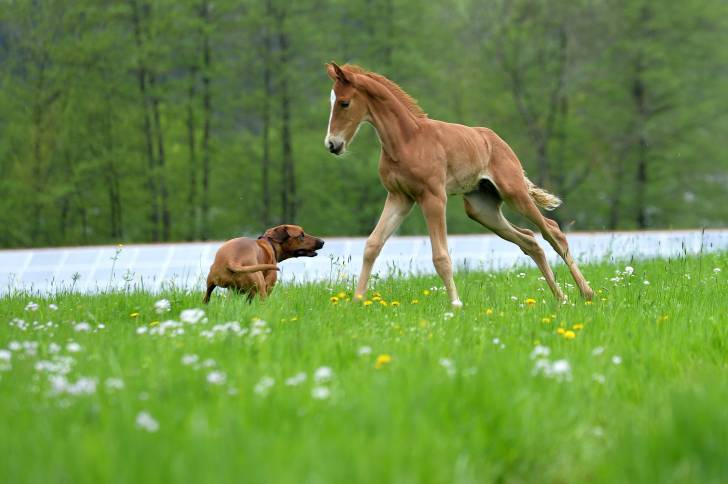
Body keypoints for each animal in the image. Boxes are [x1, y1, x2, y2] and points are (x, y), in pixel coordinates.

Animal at [324, 62, 594, 307]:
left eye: (344, 102)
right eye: (331, 101)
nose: (332, 144)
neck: (407, 141)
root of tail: (498, 141)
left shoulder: (433, 197)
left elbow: (441, 256)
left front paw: (455, 304)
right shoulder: (400, 197)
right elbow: (372, 245)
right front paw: (357, 301)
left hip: (515, 194)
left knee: (553, 232)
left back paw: (586, 293)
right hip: (481, 209)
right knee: (530, 240)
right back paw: (561, 298)